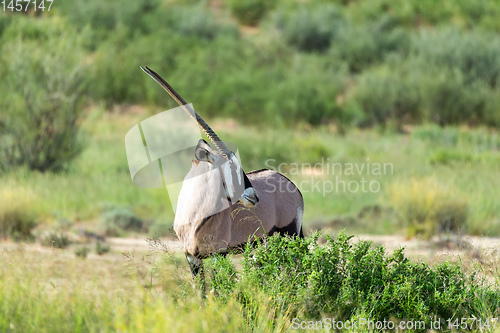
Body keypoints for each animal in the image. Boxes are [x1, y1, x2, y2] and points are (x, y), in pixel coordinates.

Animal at [141, 67, 304, 274]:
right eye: (231, 166)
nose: (254, 197)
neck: (195, 215)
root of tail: (292, 186)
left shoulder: (219, 253)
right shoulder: (192, 258)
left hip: (289, 236)